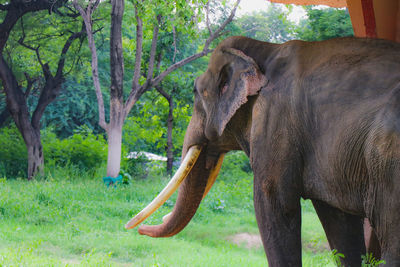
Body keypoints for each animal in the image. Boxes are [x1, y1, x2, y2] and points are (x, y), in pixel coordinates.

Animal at [126, 36, 400, 266]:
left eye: (195, 92)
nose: (137, 228)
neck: (265, 50)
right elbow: (338, 219)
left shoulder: (276, 121)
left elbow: (275, 205)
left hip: (387, 159)